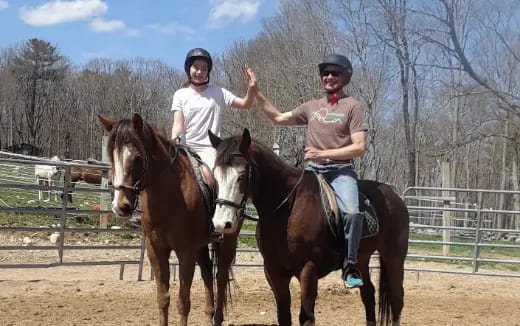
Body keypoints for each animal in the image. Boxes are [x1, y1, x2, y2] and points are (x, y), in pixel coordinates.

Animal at [98, 114, 241, 326]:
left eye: (138, 158)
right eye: (111, 157)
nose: (120, 206)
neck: (169, 196)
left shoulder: (185, 251)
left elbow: (183, 301)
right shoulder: (155, 250)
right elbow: (163, 298)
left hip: (227, 241)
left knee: (221, 277)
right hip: (200, 247)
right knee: (208, 272)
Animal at [209, 130, 408, 326]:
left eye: (241, 176)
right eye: (215, 176)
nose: (221, 223)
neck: (287, 209)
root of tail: (393, 196)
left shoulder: (308, 269)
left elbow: (306, 317)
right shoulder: (274, 272)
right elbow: (284, 316)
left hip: (394, 257)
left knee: (397, 300)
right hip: (362, 258)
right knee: (368, 294)